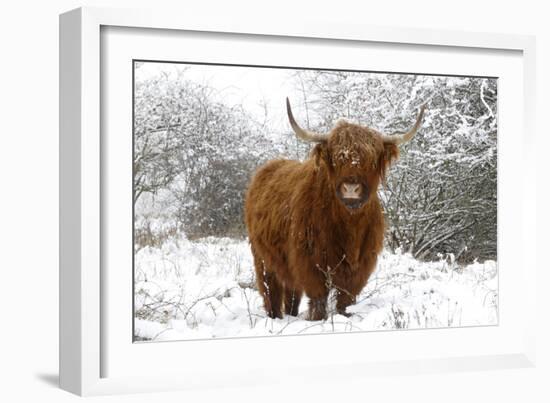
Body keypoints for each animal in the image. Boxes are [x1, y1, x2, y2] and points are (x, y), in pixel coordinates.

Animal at [246, 100, 426, 322]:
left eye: (371, 160)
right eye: (337, 159)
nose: (351, 188)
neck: (349, 226)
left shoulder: (360, 267)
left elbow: (345, 300)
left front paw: (343, 316)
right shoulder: (310, 263)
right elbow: (319, 299)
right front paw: (318, 319)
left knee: (292, 294)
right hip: (262, 259)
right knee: (270, 291)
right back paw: (275, 318)